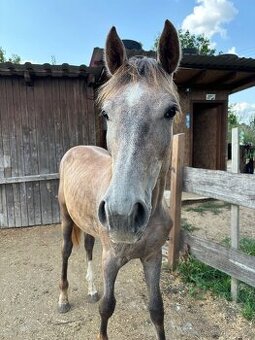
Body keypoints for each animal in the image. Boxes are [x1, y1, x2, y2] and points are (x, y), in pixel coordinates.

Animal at [57, 19, 181, 340]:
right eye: (105, 113)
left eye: (170, 110)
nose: (122, 215)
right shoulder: (111, 259)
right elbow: (107, 307)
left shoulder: (153, 258)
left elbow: (157, 309)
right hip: (66, 217)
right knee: (65, 252)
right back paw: (63, 298)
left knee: (87, 248)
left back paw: (89, 289)